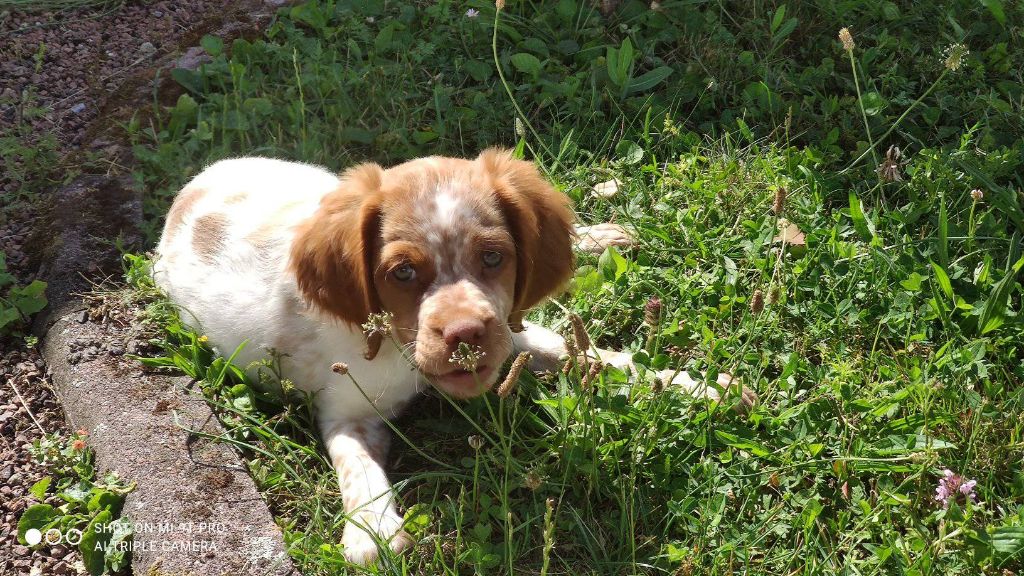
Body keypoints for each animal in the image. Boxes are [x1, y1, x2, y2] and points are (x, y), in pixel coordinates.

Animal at [153, 150, 753, 561]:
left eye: (492, 257)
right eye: (402, 273)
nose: (464, 333)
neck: (399, 349)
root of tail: (190, 188)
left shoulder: (510, 333)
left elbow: (584, 352)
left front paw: (699, 386)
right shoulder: (346, 410)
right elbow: (357, 465)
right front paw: (374, 531)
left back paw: (603, 233)